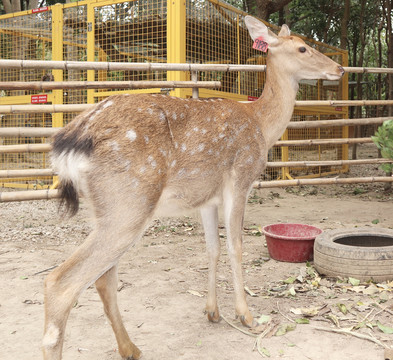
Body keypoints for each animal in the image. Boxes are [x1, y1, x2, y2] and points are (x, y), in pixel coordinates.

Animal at [44, 16, 342, 360]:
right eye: (303, 48)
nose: (339, 68)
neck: (261, 126)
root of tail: (72, 139)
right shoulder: (240, 180)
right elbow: (236, 246)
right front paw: (247, 316)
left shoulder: (207, 199)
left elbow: (212, 248)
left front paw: (212, 312)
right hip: (129, 202)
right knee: (60, 283)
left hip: (105, 208)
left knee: (103, 278)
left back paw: (131, 348)